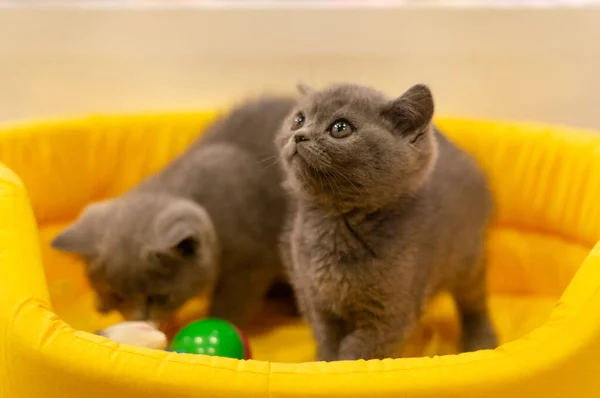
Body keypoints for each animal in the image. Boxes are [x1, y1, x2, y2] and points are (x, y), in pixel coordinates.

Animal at [276, 83, 496, 360]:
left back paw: (481, 340)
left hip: (468, 257)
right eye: (298, 119)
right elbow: (327, 345)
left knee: (474, 302)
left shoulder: (389, 318)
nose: (299, 135)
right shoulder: (317, 303)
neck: (338, 226)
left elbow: (356, 354)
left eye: (340, 128)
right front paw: (322, 364)